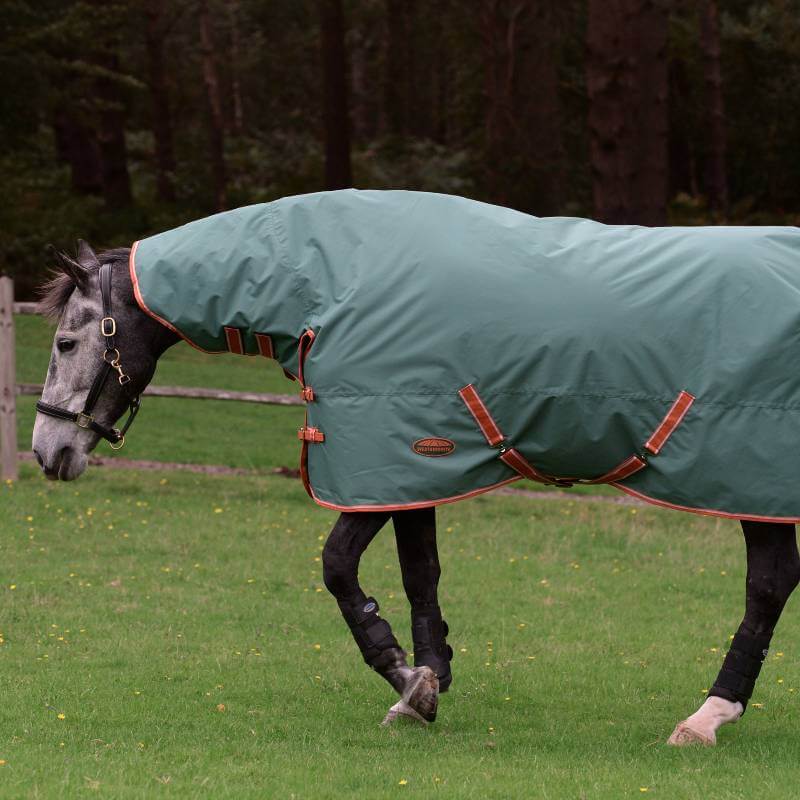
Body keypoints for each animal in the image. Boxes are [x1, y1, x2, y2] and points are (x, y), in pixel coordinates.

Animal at [32, 190, 800, 744]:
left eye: (66, 341)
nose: (47, 451)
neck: (328, 274)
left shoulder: (380, 460)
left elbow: (340, 571)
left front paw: (407, 679)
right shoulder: (413, 467)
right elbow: (419, 572)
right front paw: (427, 680)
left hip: (751, 482)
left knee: (767, 587)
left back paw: (708, 717)